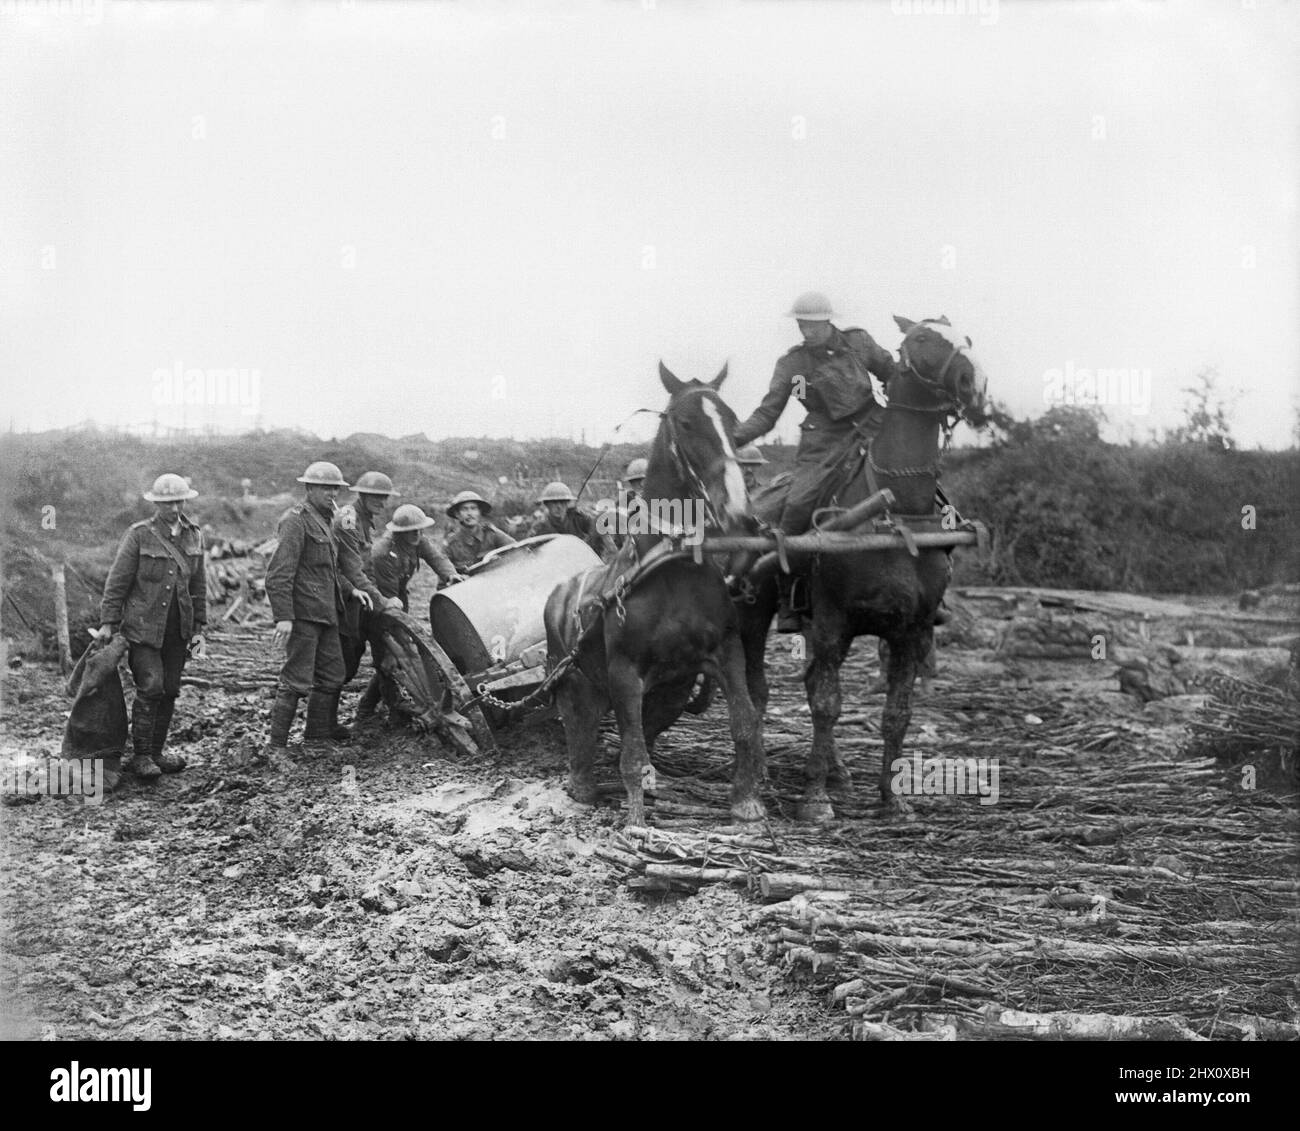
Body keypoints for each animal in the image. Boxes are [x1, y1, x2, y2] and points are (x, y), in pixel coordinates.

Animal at [543, 366, 764, 826]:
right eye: (686, 422)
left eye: (734, 423)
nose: (738, 513)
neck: (671, 563)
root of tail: (556, 593)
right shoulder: (624, 672)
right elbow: (631, 753)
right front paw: (636, 822)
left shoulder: (726, 652)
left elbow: (745, 721)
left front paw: (746, 800)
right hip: (573, 681)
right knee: (579, 729)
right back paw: (582, 786)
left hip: (669, 692)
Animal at [738, 314, 987, 821]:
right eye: (923, 338)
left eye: (965, 338)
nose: (971, 384)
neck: (893, 512)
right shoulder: (833, 623)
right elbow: (826, 706)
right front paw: (814, 799)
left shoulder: (913, 631)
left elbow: (897, 714)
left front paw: (892, 798)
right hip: (758, 617)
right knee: (761, 689)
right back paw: (768, 770)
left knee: (809, 681)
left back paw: (837, 772)